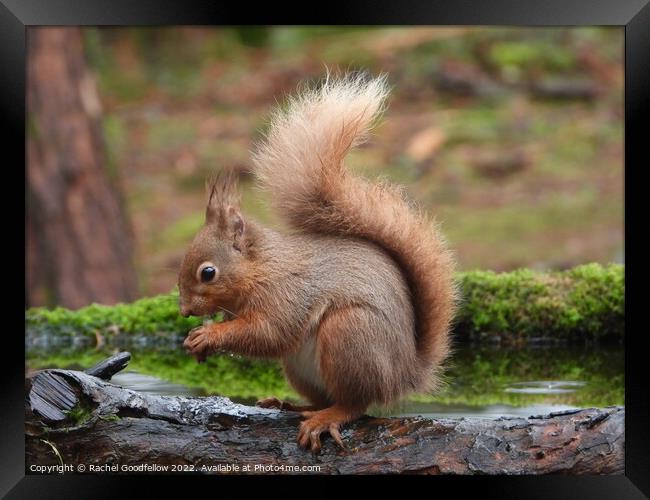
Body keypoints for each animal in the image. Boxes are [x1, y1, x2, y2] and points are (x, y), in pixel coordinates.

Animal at [175, 74, 454, 454]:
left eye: (208, 273)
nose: (185, 310)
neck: (263, 268)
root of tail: (405, 374)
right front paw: (196, 340)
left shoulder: (286, 294)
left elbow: (268, 332)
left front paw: (209, 335)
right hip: (299, 367)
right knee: (324, 397)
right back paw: (290, 405)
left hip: (349, 333)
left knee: (354, 403)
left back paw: (326, 418)